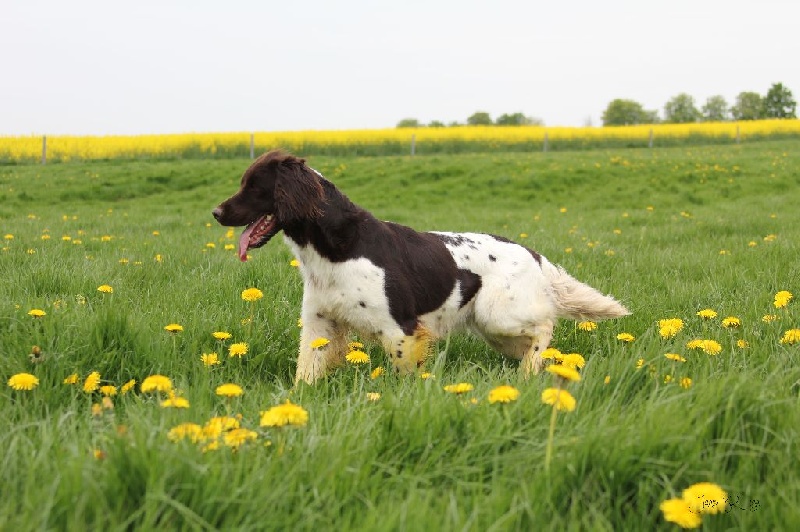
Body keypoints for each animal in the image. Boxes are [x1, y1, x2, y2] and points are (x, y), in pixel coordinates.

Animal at [214, 149, 632, 382]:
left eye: (253, 186)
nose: (216, 212)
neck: (337, 248)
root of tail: (534, 254)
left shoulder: (399, 328)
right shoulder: (320, 324)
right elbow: (304, 377)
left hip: (498, 315)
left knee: (546, 326)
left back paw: (530, 373)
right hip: (494, 329)